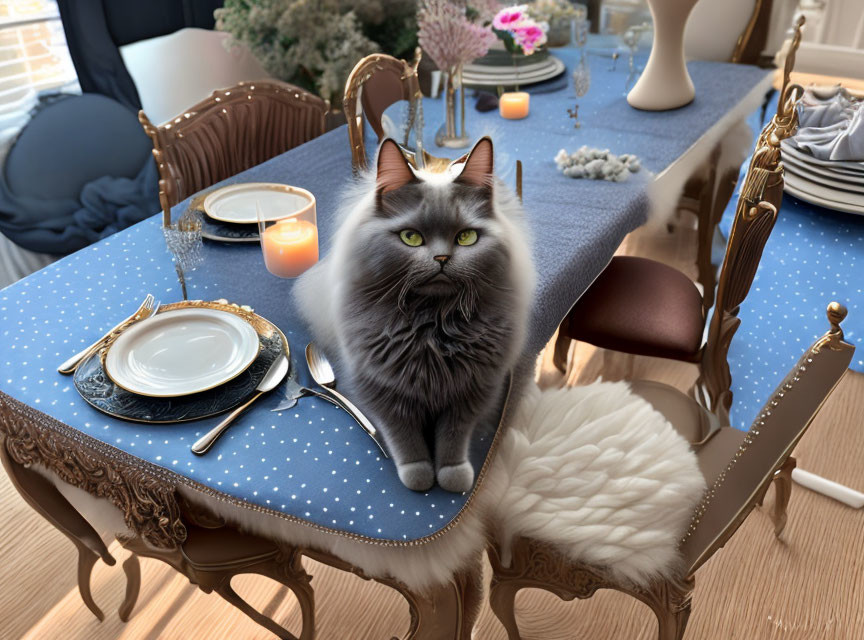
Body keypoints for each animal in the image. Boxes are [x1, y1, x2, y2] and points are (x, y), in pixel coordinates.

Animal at [296, 138, 532, 492]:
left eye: (466, 237)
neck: (433, 325)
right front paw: (419, 476)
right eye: (411, 237)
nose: (442, 258)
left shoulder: (472, 390)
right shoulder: (383, 387)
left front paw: (452, 475)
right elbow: (405, 438)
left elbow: (453, 437)